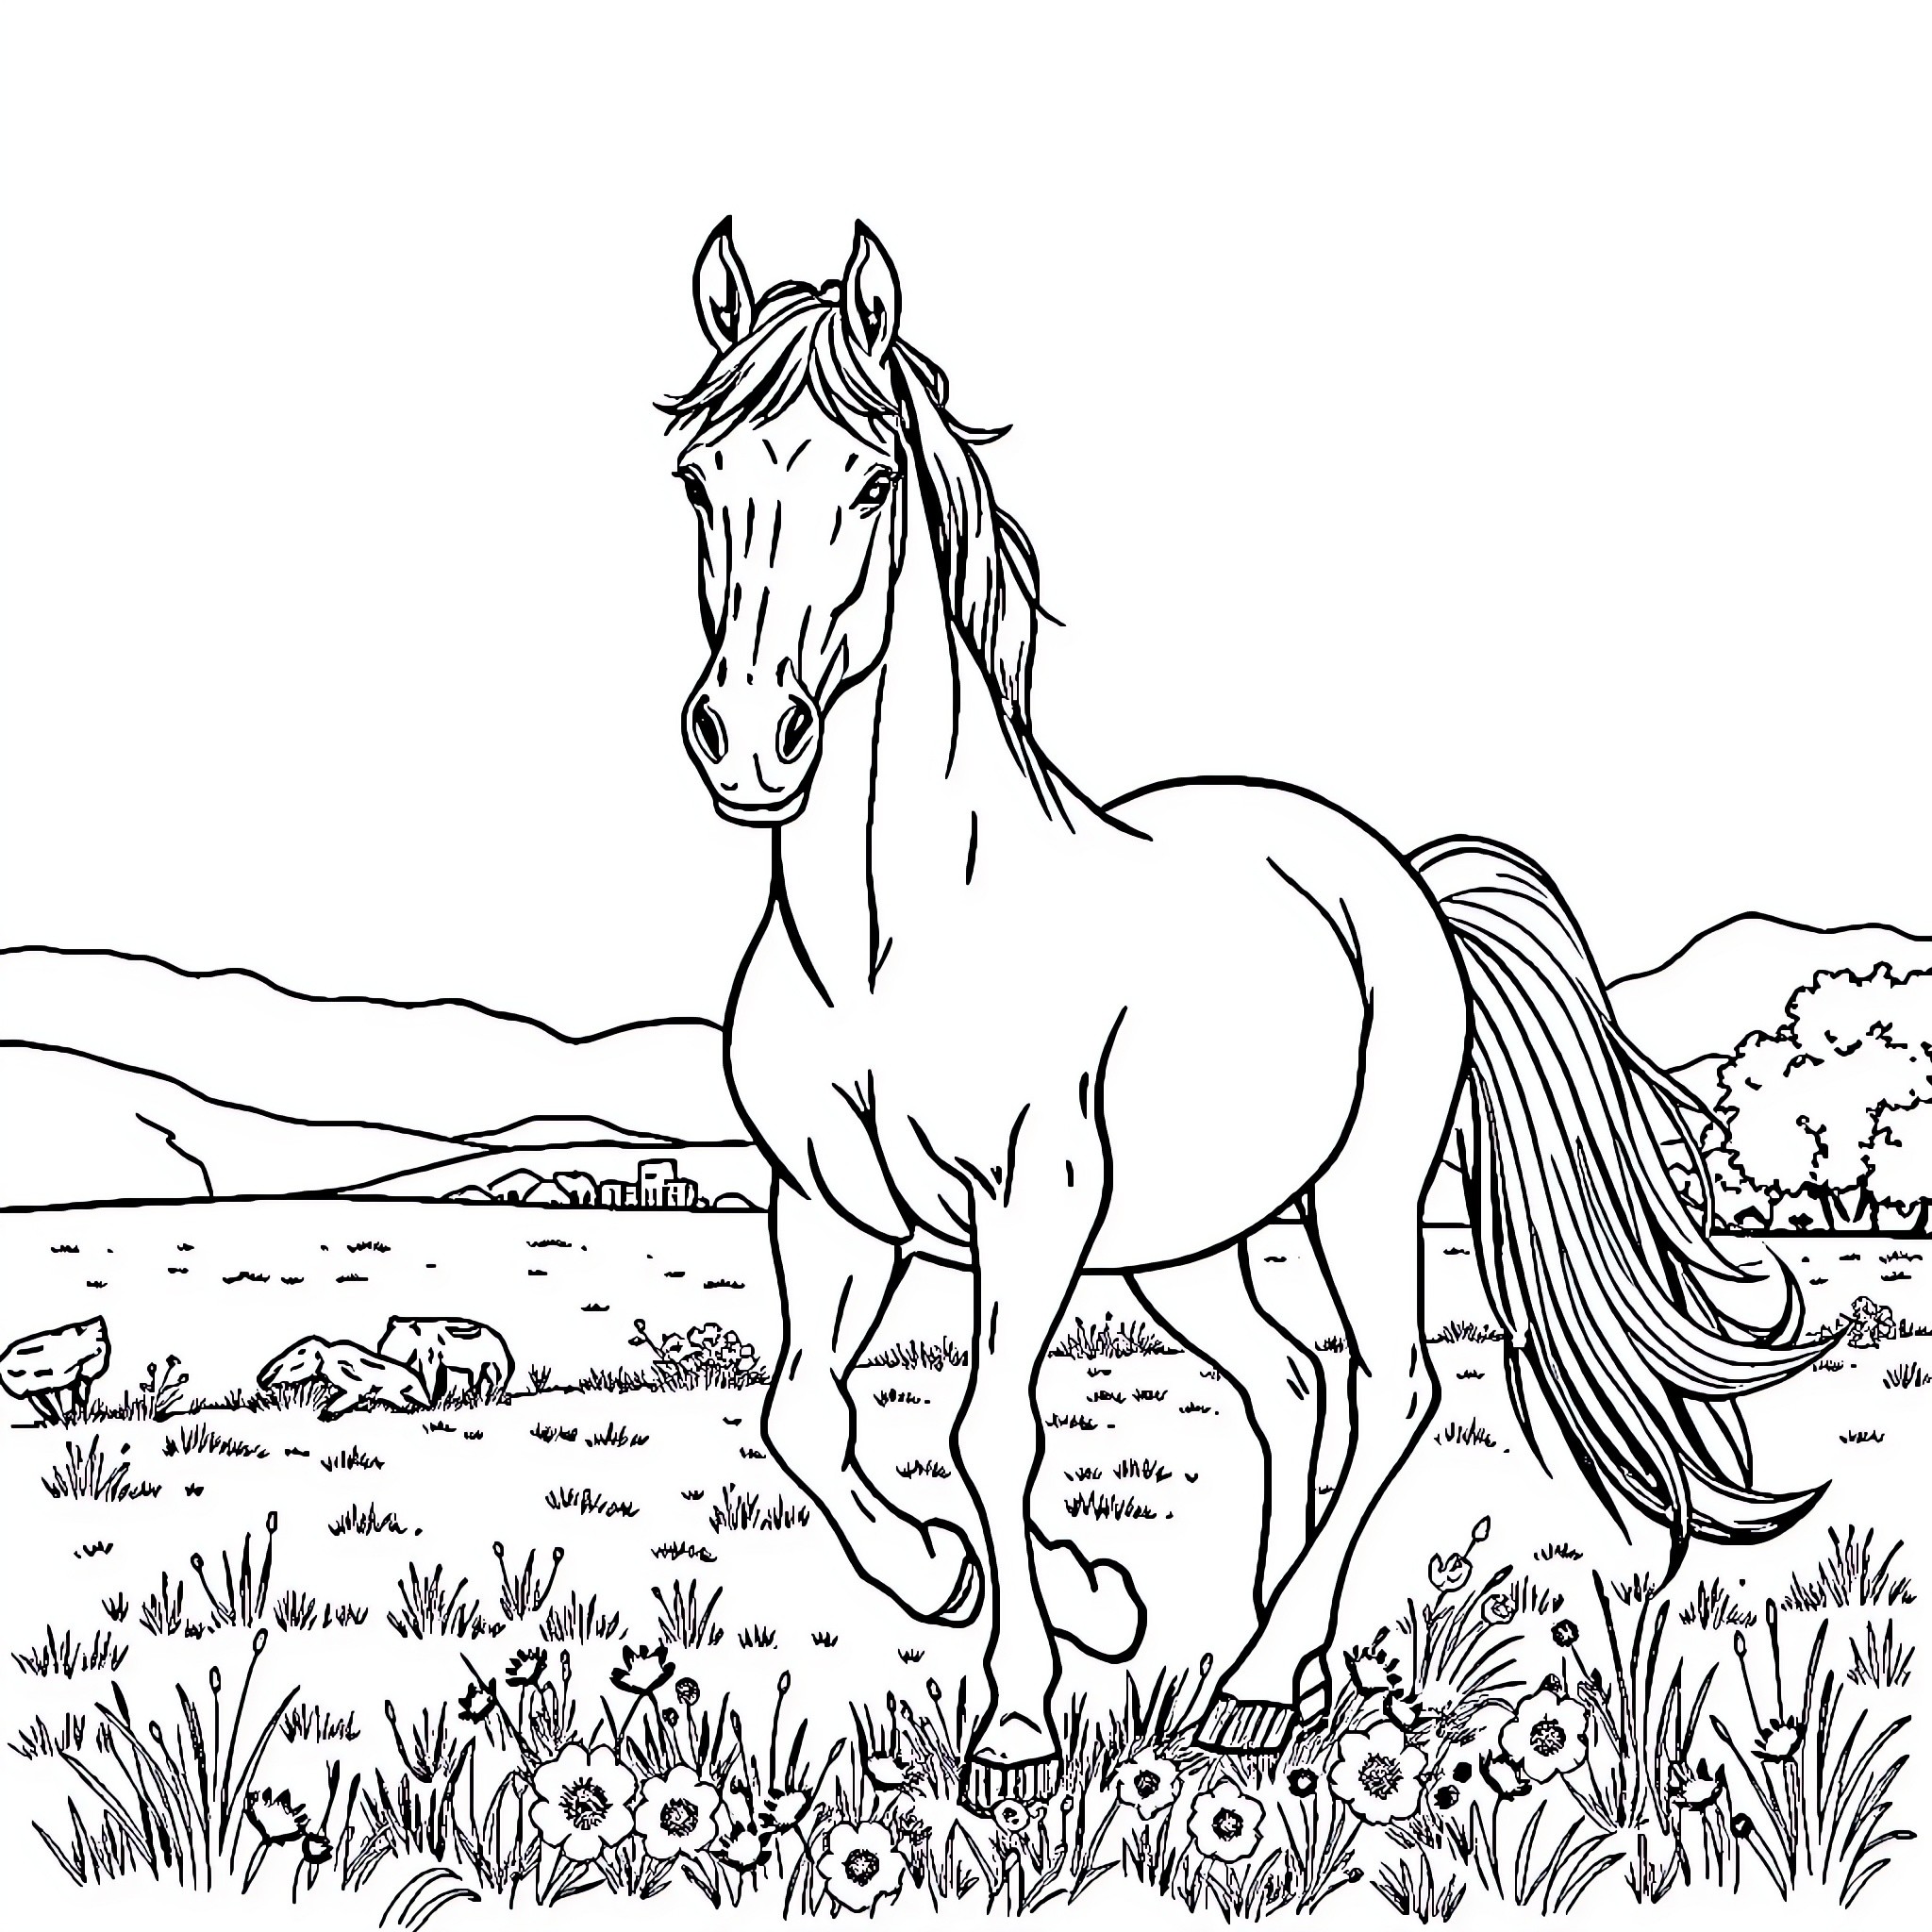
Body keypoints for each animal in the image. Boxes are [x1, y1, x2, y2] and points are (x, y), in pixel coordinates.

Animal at [662, 218, 1828, 1810]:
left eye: (870, 479)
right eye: (698, 478)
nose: (746, 738)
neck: (888, 943)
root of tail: (1400, 880)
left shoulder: (1030, 1205)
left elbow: (991, 1424)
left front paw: (1019, 1709)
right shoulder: (832, 1208)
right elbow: (806, 1415)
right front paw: (1016, 1589)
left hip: (1362, 1191)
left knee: (1392, 1387)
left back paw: (1269, 1675)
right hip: (1182, 1243)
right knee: (1289, 1381)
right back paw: (1278, 1657)